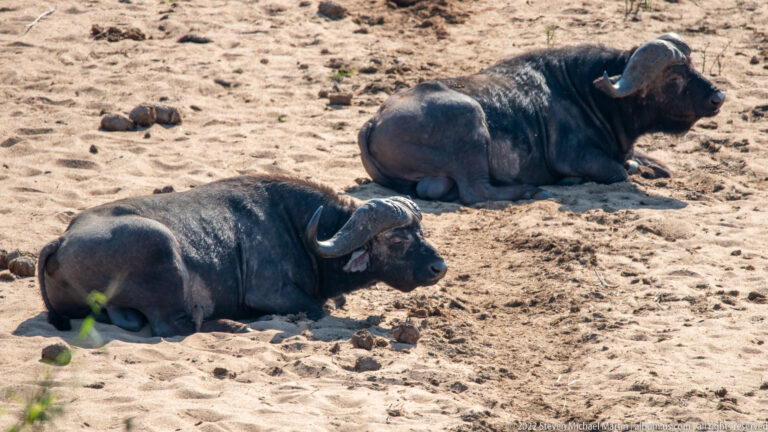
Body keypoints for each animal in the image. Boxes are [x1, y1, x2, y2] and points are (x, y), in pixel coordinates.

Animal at [38, 175, 447, 337]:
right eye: (397, 239)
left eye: (422, 232)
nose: (438, 267)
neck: (300, 228)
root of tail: (62, 239)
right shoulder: (273, 294)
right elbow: (317, 308)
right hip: (160, 245)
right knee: (174, 325)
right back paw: (235, 325)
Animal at [358, 33, 725, 204]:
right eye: (674, 78)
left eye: (693, 67)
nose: (717, 97)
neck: (591, 94)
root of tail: (373, 121)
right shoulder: (575, 156)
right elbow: (620, 170)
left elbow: (649, 164)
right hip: (470, 120)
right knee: (476, 191)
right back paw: (529, 190)